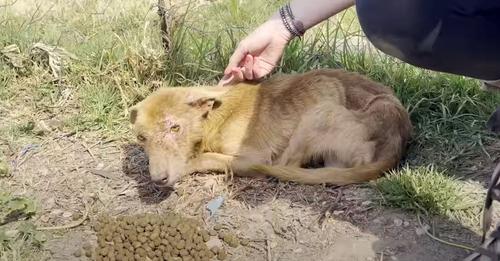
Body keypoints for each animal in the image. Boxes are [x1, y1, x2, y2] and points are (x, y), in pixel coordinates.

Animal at [129, 68, 414, 187]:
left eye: (175, 128)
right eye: (142, 138)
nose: (157, 180)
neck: (215, 117)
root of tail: (397, 137)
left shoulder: (252, 156)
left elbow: (206, 157)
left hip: (319, 110)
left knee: (286, 165)